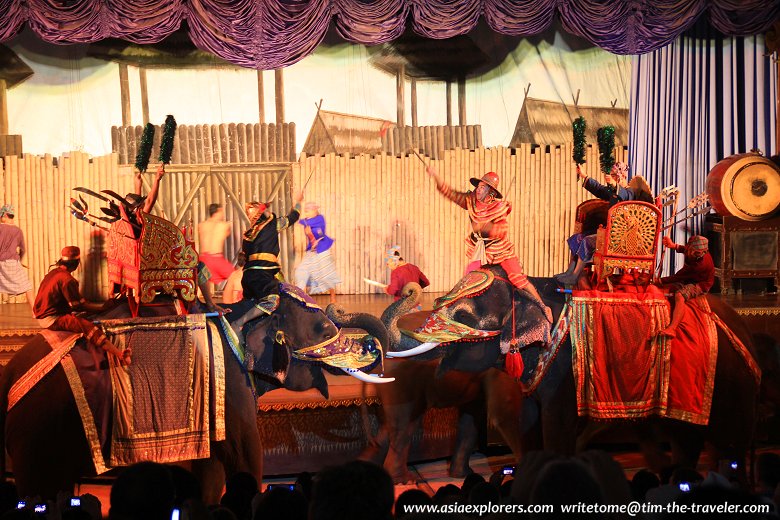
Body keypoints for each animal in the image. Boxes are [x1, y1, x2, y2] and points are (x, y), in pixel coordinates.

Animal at [0, 288, 390, 504]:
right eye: (323, 329)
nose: (371, 348)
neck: (238, 313)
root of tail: (9, 376)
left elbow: (210, 475)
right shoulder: (231, 387)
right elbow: (245, 462)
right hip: (38, 439)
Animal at [372, 266, 760, 486]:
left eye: (465, 317)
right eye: (441, 303)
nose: (411, 288)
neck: (532, 288)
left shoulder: (565, 376)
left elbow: (556, 430)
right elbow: (528, 424)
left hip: (722, 383)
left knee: (722, 442)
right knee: (681, 440)